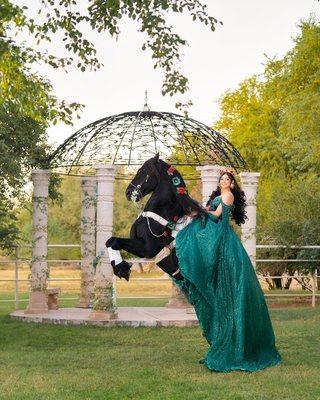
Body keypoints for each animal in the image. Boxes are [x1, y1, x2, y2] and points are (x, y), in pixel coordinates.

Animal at [105, 153, 208, 282]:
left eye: (143, 170)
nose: (128, 192)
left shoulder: (147, 249)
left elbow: (113, 241)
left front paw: (122, 268)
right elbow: (109, 241)